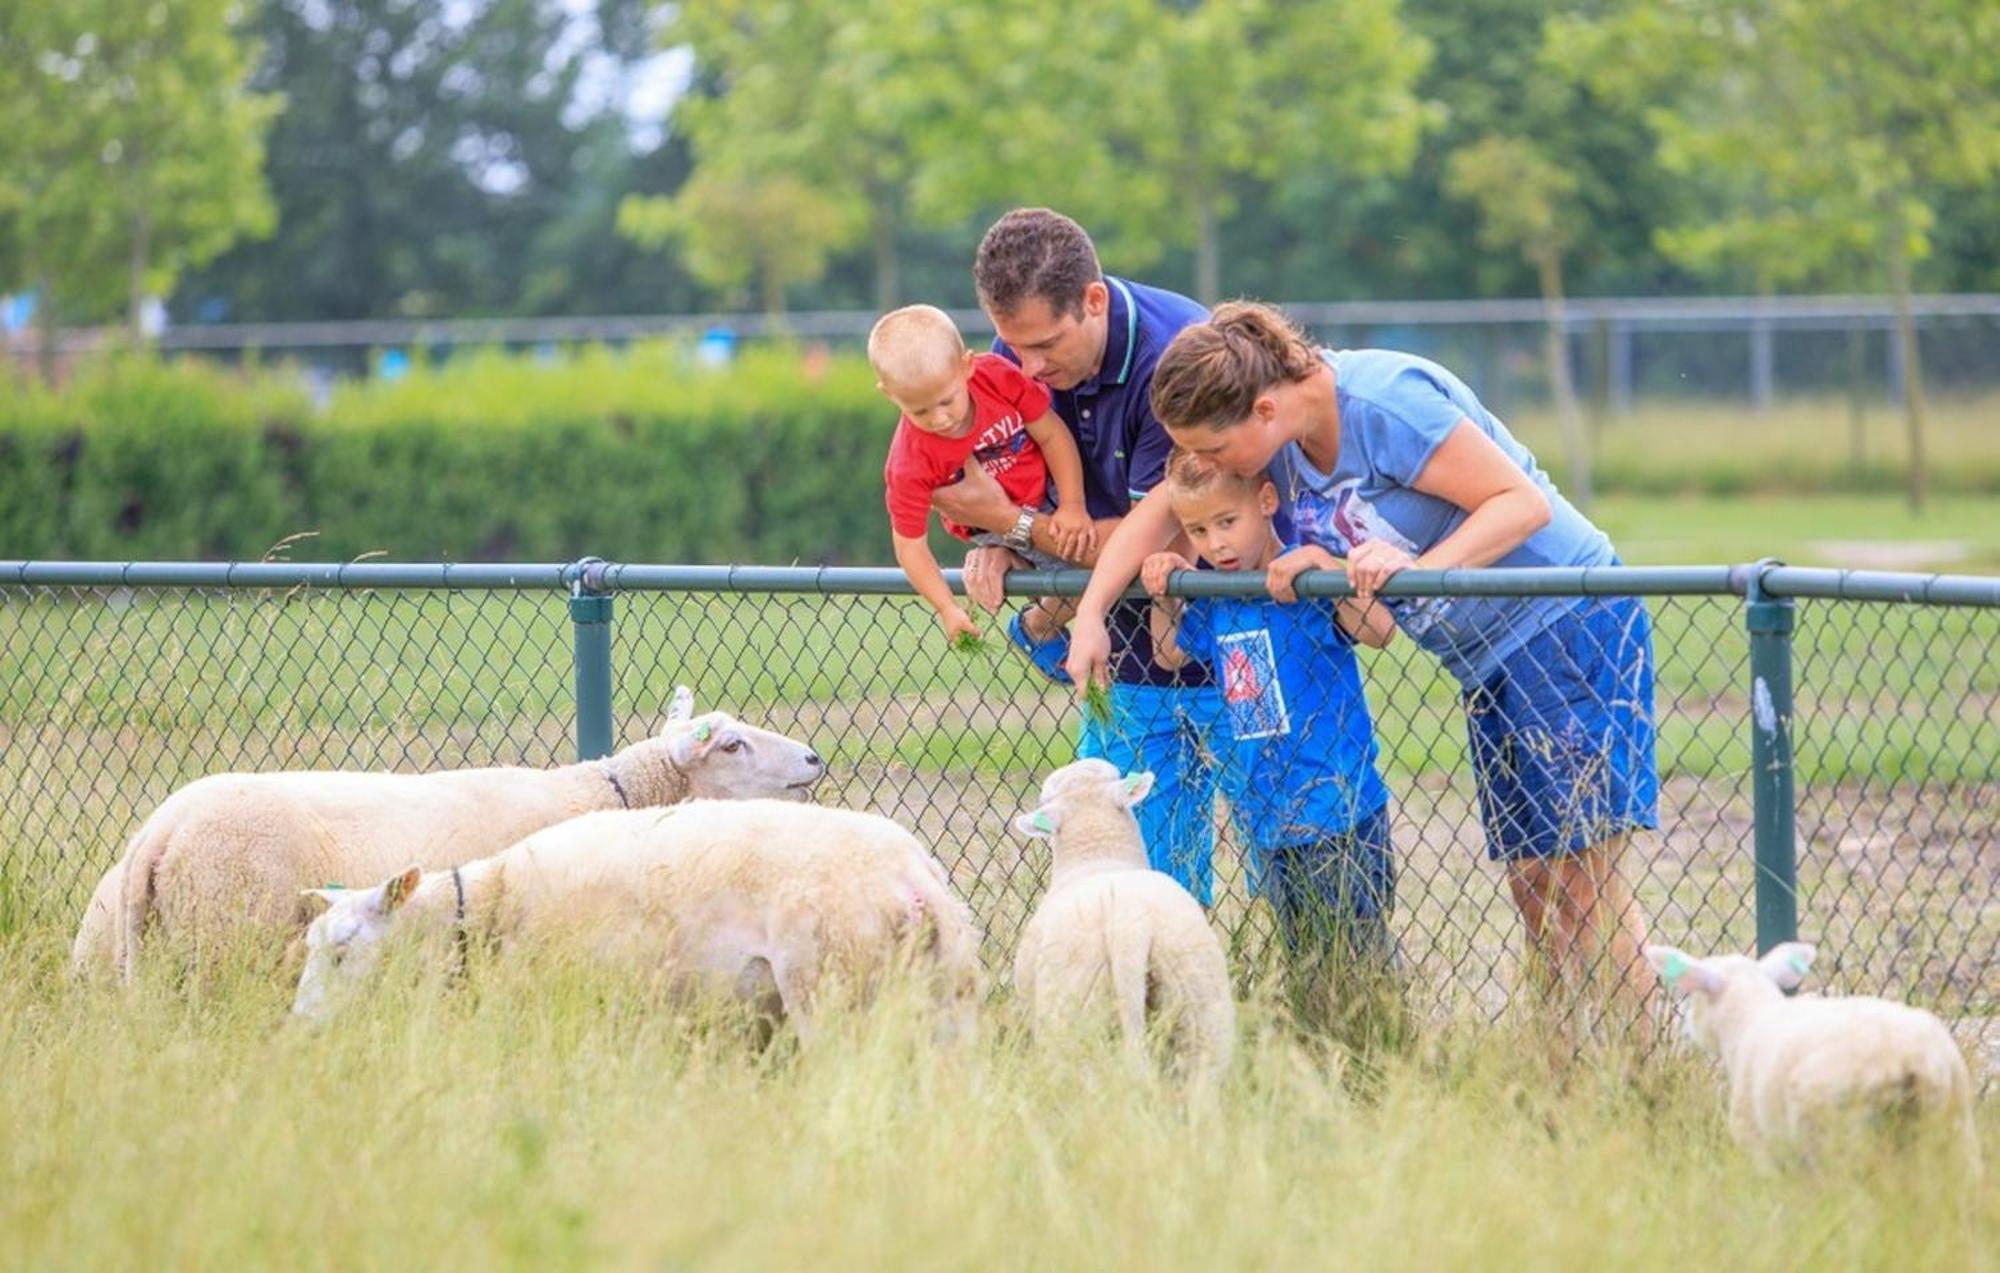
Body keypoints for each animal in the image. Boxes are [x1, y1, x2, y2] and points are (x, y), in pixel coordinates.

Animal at [290, 800, 984, 1040]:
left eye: (343, 949)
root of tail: (911, 879)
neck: (487, 908)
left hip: (834, 997)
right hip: (948, 1002)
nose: (300, 1029)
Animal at [1640, 940, 1984, 1168]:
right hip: (1954, 1126)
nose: (1686, 1031)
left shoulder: (1759, 1141)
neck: (1748, 1018)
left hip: (1836, 1128)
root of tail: (1913, 1057)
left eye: (1692, 997)